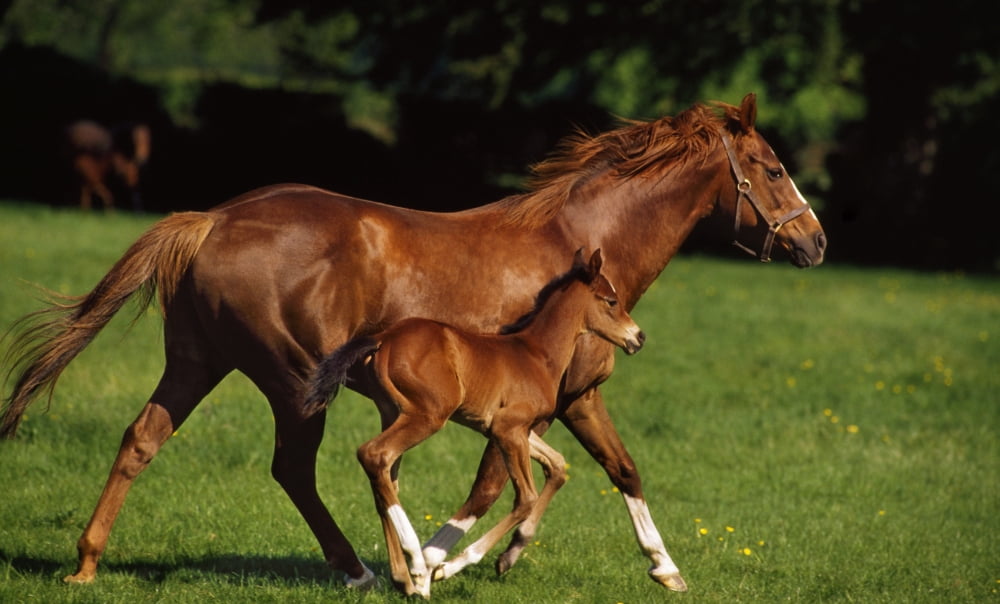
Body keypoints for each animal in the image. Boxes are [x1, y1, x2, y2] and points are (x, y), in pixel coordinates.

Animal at [307, 249, 644, 597]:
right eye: (611, 301)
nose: (638, 337)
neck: (537, 354)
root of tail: (384, 337)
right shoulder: (508, 428)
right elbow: (526, 497)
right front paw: (448, 567)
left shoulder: (511, 430)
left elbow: (558, 465)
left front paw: (506, 555)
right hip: (428, 415)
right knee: (374, 455)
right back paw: (417, 565)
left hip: (391, 413)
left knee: (385, 476)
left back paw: (406, 579)